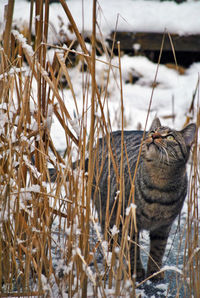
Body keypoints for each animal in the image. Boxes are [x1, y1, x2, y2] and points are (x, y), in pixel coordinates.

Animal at [90, 117, 196, 280]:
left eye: (170, 137)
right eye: (153, 131)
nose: (154, 136)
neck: (159, 187)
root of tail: (100, 140)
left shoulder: (163, 226)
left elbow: (158, 249)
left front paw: (154, 271)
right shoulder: (129, 221)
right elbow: (133, 249)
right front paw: (136, 270)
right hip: (107, 208)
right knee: (108, 232)